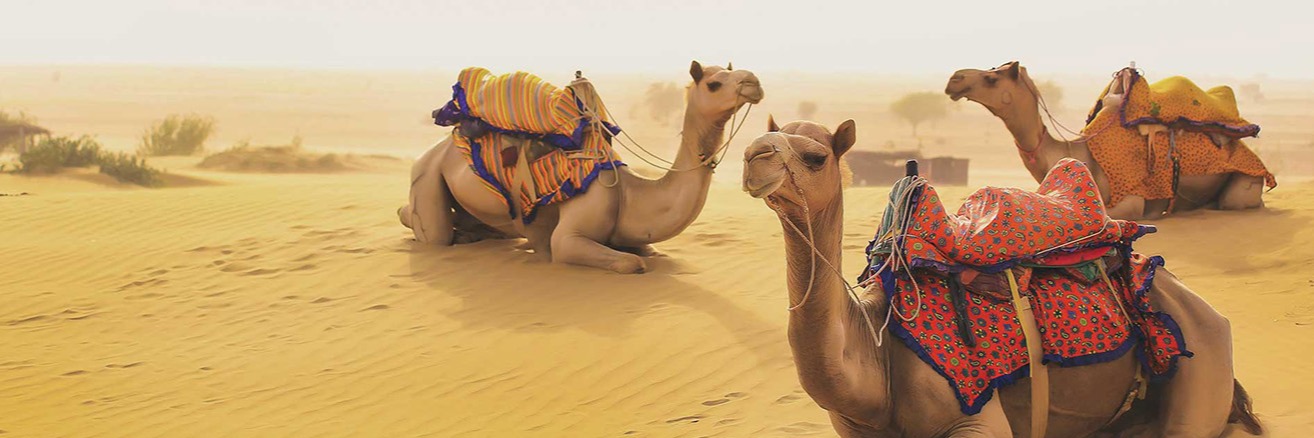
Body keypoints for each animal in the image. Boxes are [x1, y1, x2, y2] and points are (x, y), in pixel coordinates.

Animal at [400, 61, 763, 273]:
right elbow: (633, 263)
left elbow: (649, 251)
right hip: (427, 175)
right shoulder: (570, 237)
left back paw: (471, 235)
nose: (754, 82)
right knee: (432, 230)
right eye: (714, 83)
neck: (630, 194)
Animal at [741, 117, 1261, 437]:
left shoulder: (976, 415)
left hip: (1201, 358)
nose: (752, 155)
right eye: (771, 135)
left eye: (815, 156)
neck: (874, 356)